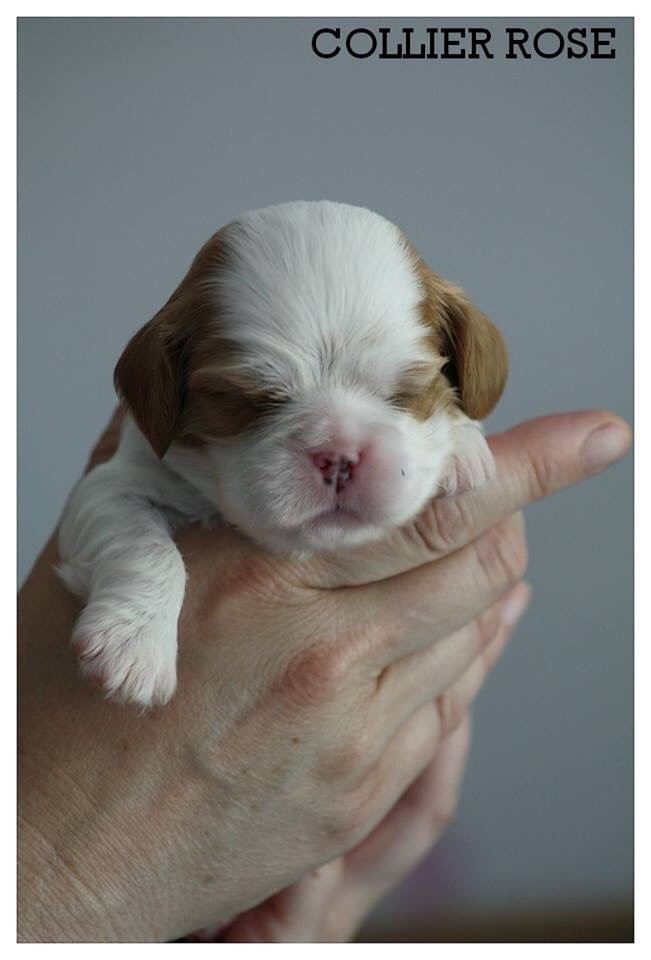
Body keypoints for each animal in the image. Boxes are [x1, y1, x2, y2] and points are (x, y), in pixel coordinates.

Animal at [57, 200, 508, 707]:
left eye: (405, 393)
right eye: (251, 400)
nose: (339, 455)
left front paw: (463, 448)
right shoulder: (112, 484)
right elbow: (144, 544)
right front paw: (134, 648)